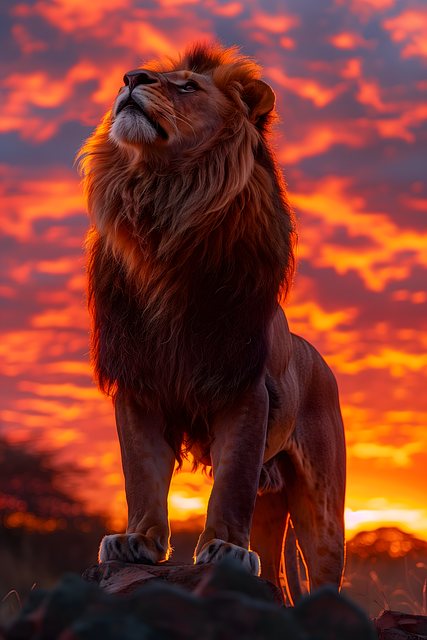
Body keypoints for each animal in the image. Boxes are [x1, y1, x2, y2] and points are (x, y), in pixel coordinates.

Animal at [78, 42, 348, 604]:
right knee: (276, 573)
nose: (130, 77)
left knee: (324, 567)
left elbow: (230, 484)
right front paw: (138, 541)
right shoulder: (139, 386)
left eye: (188, 86)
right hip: (272, 503)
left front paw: (223, 548)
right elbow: (141, 475)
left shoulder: (242, 391)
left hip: (321, 505)